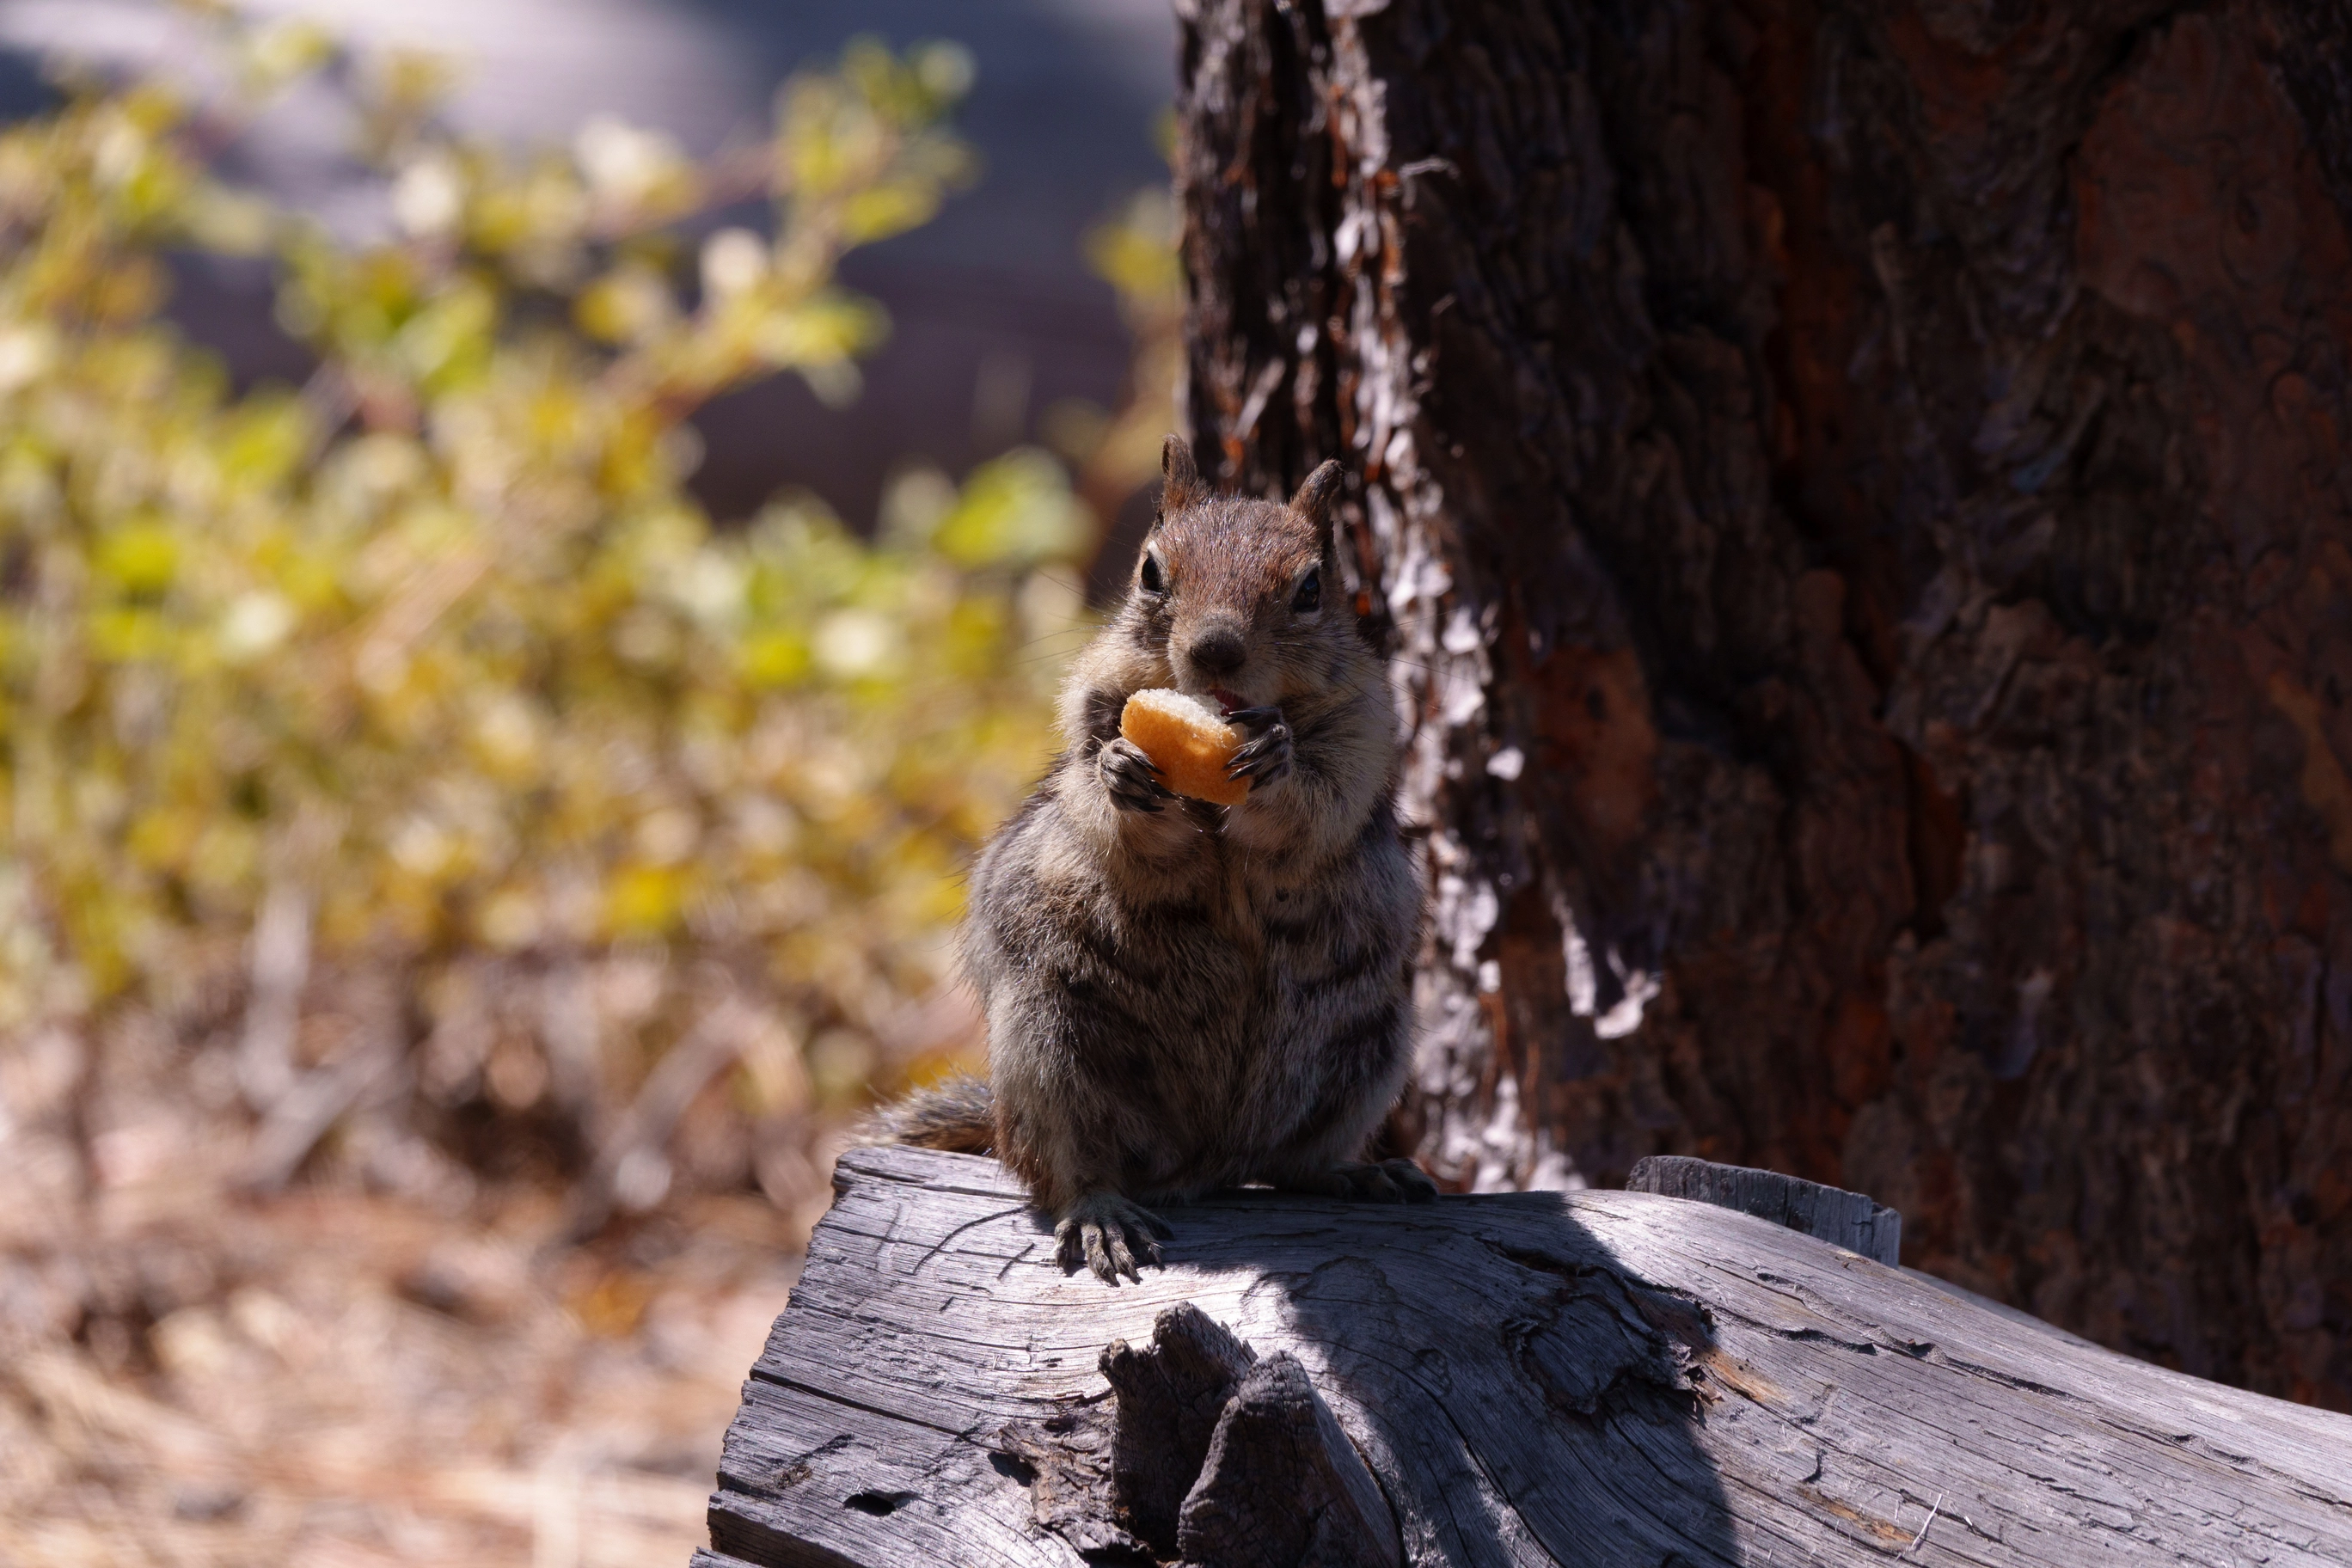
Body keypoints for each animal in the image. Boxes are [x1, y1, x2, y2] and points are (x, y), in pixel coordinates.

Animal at [865, 434, 1435, 1282]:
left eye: (1311, 587)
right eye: (1150, 572)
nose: (1216, 650)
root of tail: (1204, 1162)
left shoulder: (1365, 730)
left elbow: (1319, 804)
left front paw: (1277, 761)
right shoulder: (1089, 713)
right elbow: (1106, 804)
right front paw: (1124, 775)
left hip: (1367, 1048)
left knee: (1293, 1162)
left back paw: (1357, 1172)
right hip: (1049, 1049)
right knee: (1067, 1171)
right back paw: (1101, 1212)